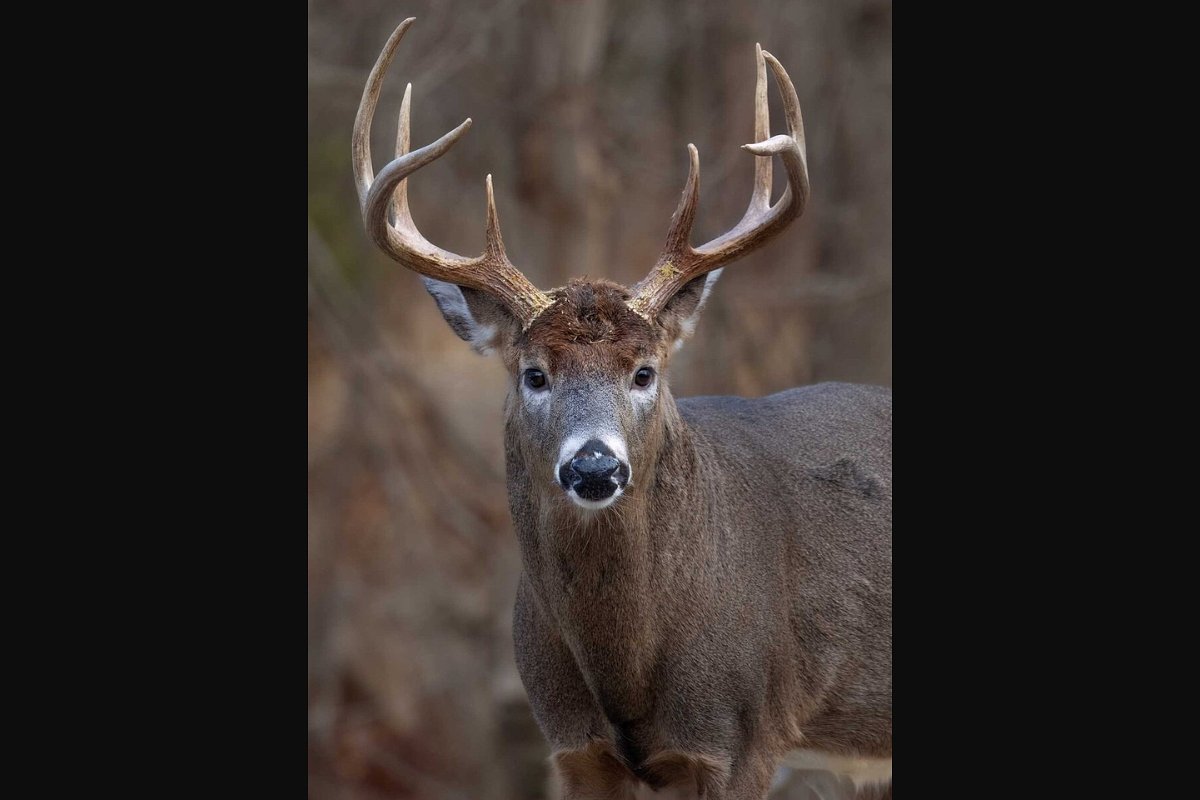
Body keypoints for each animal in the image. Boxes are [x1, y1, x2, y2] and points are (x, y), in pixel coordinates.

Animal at [352, 18, 891, 800]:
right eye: (534, 374)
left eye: (644, 372)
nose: (595, 467)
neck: (627, 672)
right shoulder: (573, 745)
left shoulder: (741, 739)